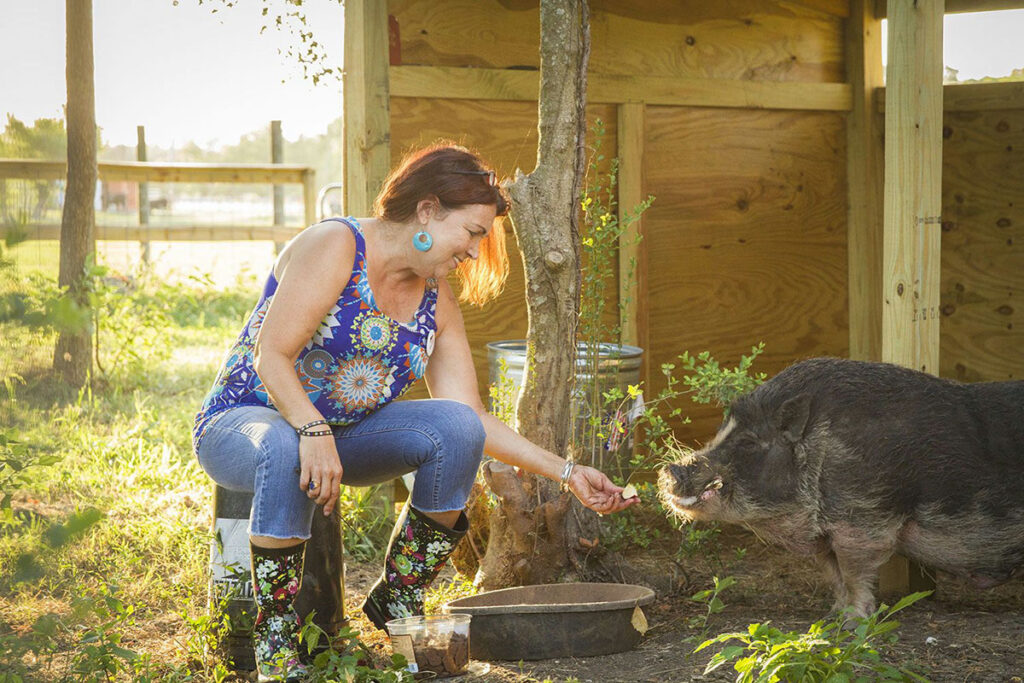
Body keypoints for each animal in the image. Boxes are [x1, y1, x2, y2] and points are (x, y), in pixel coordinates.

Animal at [655, 358, 1024, 618]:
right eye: (722, 431)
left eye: (748, 442)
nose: (671, 468)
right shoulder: (826, 535)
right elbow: (833, 574)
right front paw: (832, 615)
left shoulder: (862, 520)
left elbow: (853, 572)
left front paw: (852, 621)